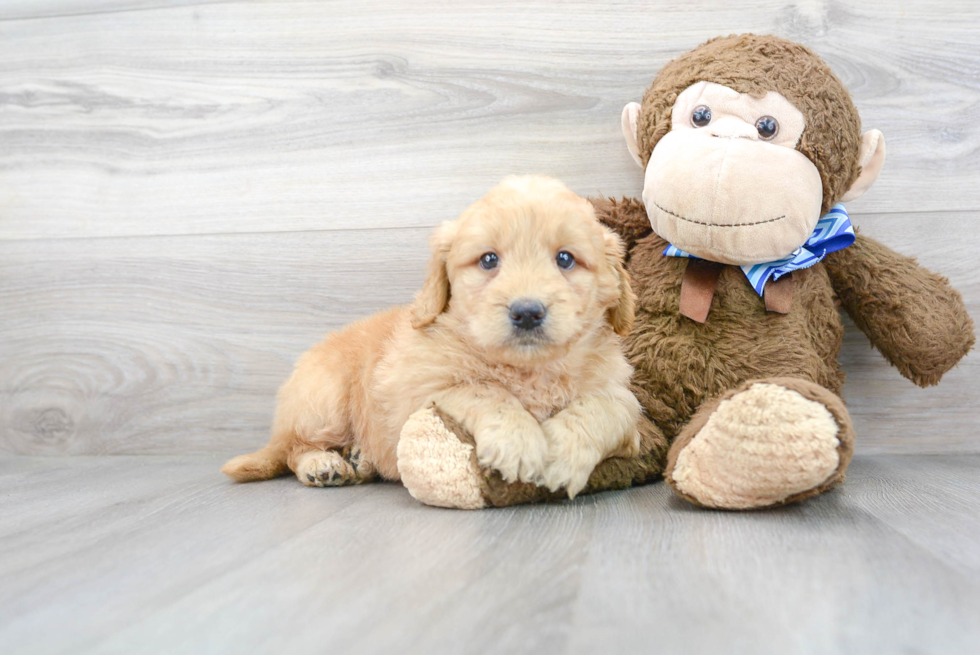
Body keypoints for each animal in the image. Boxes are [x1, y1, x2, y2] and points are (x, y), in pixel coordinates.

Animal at [226, 174, 648, 498]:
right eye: (489, 260)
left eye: (565, 259)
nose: (527, 312)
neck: (529, 369)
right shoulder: (421, 389)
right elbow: (483, 389)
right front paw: (518, 441)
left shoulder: (622, 400)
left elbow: (605, 408)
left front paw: (562, 454)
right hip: (323, 399)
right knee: (293, 448)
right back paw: (323, 463)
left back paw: (359, 459)